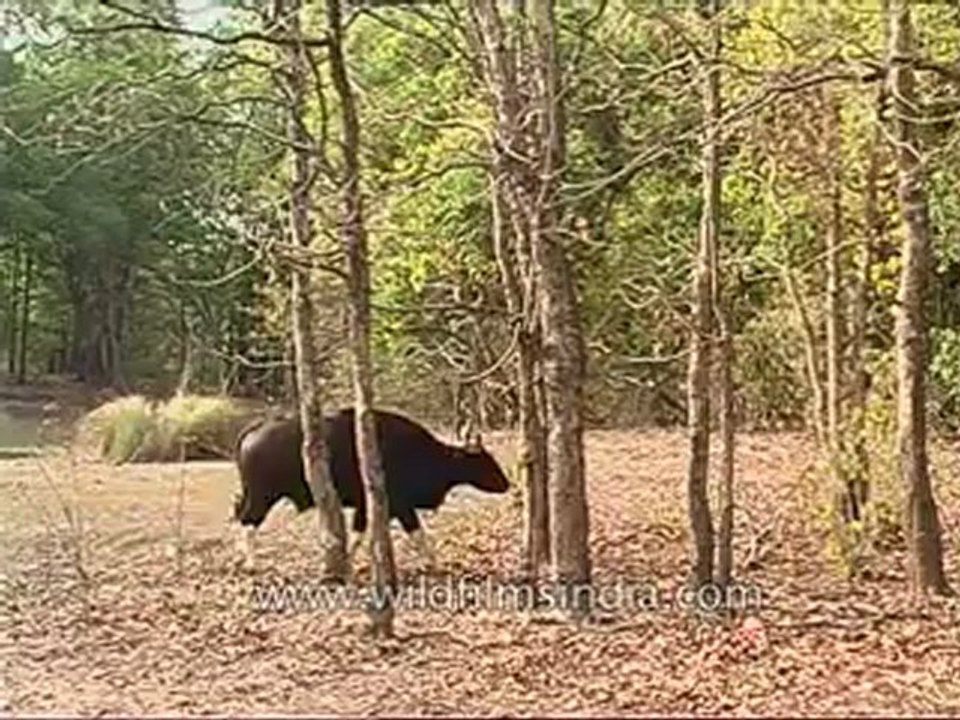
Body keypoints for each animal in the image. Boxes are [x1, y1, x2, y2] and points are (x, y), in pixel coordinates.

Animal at [232, 407, 510, 568]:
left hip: (252, 493)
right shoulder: (400, 505)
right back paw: (251, 562)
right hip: (263, 495)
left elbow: (358, 533)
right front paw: (433, 562)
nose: (506, 483)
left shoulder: (365, 506)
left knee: (241, 516)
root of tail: (254, 430)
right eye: (485, 461)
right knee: (249, 521)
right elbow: (417, 534)